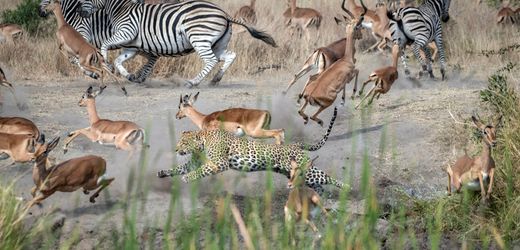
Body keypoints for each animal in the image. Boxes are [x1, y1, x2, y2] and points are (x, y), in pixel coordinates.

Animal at [76, 0, 276, 88]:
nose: (79, 12)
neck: (120, 9)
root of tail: (225, 14)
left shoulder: (127, 31)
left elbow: (105, 45)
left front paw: (106, 64)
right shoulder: (130, 46)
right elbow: (120, 60)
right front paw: (128, 75)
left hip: (199, 38)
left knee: (210, 60)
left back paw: (193, 82)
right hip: (217, 43)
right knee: (230, 55)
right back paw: (216, 79)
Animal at [156, 106, 348, 192]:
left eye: (183, 143)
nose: (176, 150)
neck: (204, 139)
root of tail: (295, 145)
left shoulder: (219, 163)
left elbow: (198, 171)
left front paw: (187, 179)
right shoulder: (197, 161)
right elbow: (181, 168)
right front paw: (163, 173)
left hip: (305, 170)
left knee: (326, 177)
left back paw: (347, 187)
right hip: (296, 174)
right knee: (318, 184)